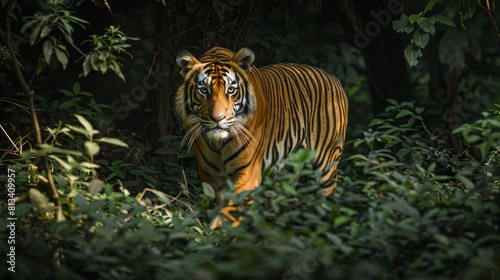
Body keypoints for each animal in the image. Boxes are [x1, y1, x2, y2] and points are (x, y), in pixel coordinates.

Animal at [175, 46, 348, 230]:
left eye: (231, 90)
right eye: (203, 91)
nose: (217, 118)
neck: (218, 143)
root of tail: (333, 77)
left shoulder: (248, 173)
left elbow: (228, 213)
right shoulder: (211, 176)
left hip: (326, 167)